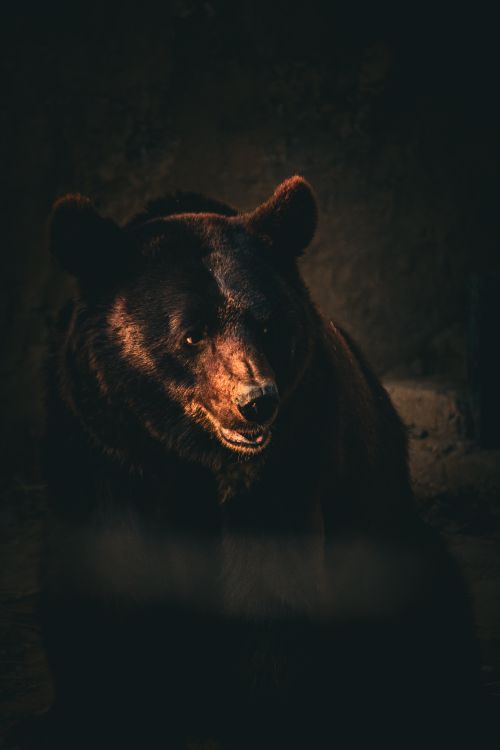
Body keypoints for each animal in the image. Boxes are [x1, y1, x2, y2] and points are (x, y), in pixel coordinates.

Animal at [35, 176, 483, 749]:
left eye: (267, 324)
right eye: (192, 334)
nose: (257, 400)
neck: (187, 451)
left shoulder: (286, 464)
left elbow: (271, 596)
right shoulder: (101, 450)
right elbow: (105, 586)